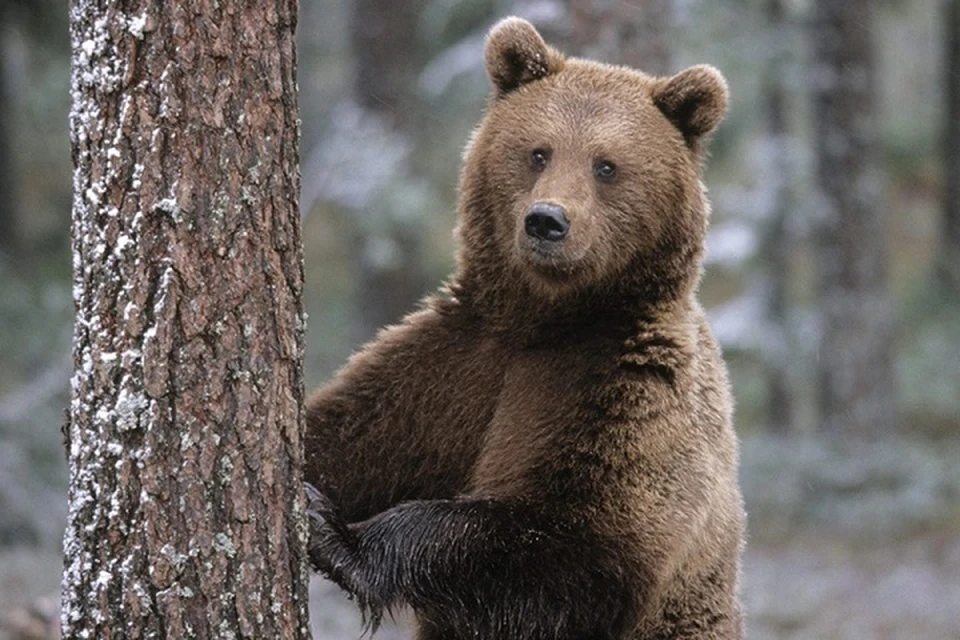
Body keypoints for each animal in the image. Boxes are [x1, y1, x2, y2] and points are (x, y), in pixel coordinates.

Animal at [304, 16, 748, 640]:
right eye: (539, 152)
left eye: (606, 165)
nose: (547, 221)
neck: (547, 319)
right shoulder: (456, 364)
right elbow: (350, 433)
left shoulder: (627, 392)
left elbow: (570, 544)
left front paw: (339, 537)